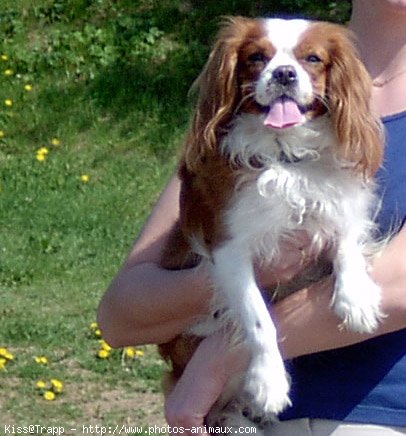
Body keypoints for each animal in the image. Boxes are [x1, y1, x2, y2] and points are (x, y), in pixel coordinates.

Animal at [158, 16, 384, 432]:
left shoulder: (340, 204)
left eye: (313, 58)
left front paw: (356, 298)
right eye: (256, 58)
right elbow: (259, 318)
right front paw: (269, 382)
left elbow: (346, 243)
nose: (283, 73)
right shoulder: (228, 250)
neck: (286, 156)